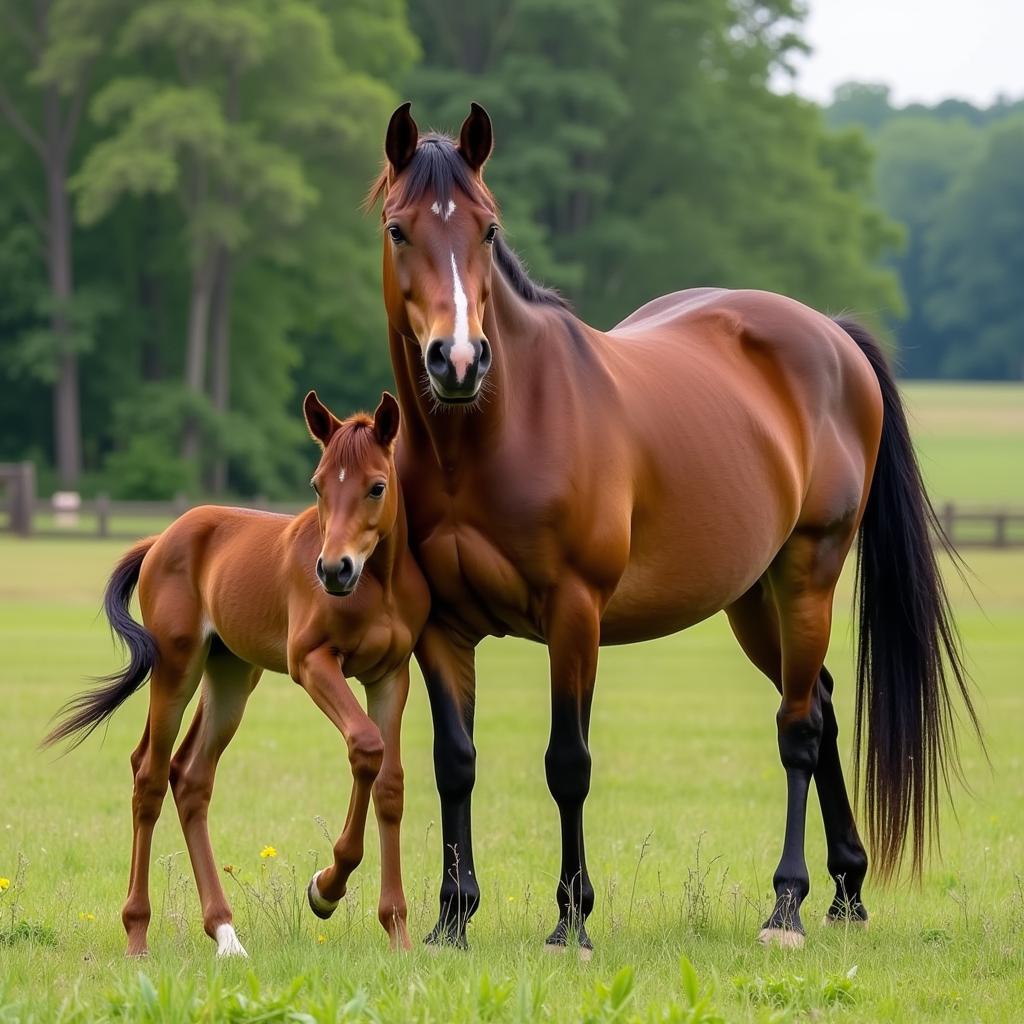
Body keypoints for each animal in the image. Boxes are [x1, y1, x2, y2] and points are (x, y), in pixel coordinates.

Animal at [43, 393, 428, 958]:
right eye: (317, 485)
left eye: (376, 486)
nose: (333, 570)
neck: (374, 585)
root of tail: (163, 538)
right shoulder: (311, 662)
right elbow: (365, 745)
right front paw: (326, 889)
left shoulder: (390, 677)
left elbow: (390, 783)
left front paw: (398, 930)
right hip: (177, 667)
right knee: (150, 774)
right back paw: (137, 934)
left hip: (231, 678)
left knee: (191, 777)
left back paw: (225, 934)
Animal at [372, 103, 978, 950]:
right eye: (399, 229)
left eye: (488, 229)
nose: (457, 362)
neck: (494, 434)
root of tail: (828, 334)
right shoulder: (442, 627)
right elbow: (453, 761)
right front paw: (451, 920)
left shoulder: (575, 615)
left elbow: (568, 763)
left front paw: (572, 921)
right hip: (752, 600)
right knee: (821, 705)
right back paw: (846, 889)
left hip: (808, 576)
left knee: (799, 728)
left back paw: (788, 904)